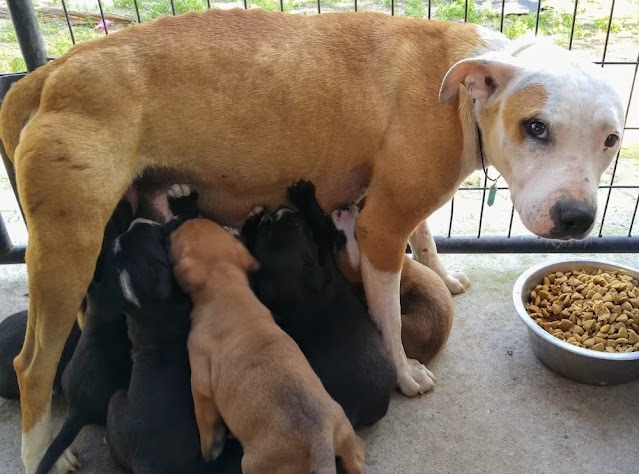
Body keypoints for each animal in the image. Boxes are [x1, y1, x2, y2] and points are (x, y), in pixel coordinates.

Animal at [170, 218, 368, 474]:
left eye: (178, 236)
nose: (176, 221)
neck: (227, 288)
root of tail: (319, 441)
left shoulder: (200, 376)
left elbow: (203, 413)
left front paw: (210, 447)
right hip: (344, 431)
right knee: (356, 456)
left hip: (253, 464)